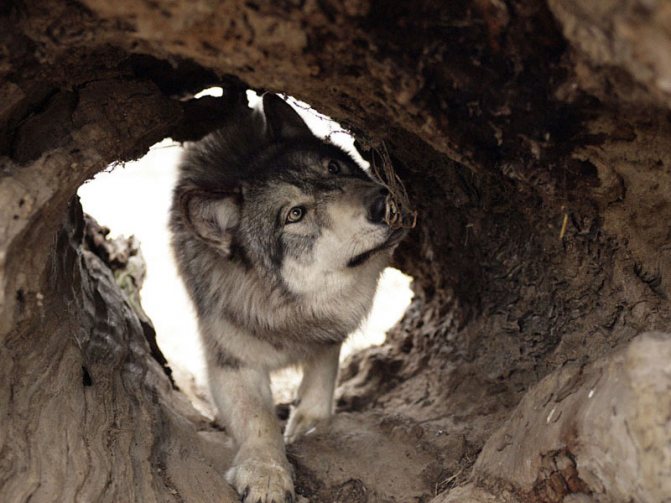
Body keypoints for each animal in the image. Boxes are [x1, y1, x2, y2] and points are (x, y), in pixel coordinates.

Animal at [170, 93, 407, 502]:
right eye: (295, 214)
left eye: (333, 167)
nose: (381, 200)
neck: (288, 311)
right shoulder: (231, 361)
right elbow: (258, 419)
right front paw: (266, 474)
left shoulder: (330, 328)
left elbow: (323, 368)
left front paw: (310, 423)